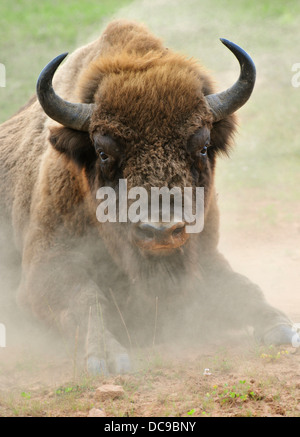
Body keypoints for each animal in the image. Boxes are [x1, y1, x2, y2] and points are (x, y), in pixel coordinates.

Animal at [0, 20, 298, 372]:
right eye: (102, 152)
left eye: (203, 146)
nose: (161, 231)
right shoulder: (45, 271)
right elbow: (88, 300)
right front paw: (107, 358)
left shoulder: (206, 256)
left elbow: (242, 288)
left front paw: (284, 328)